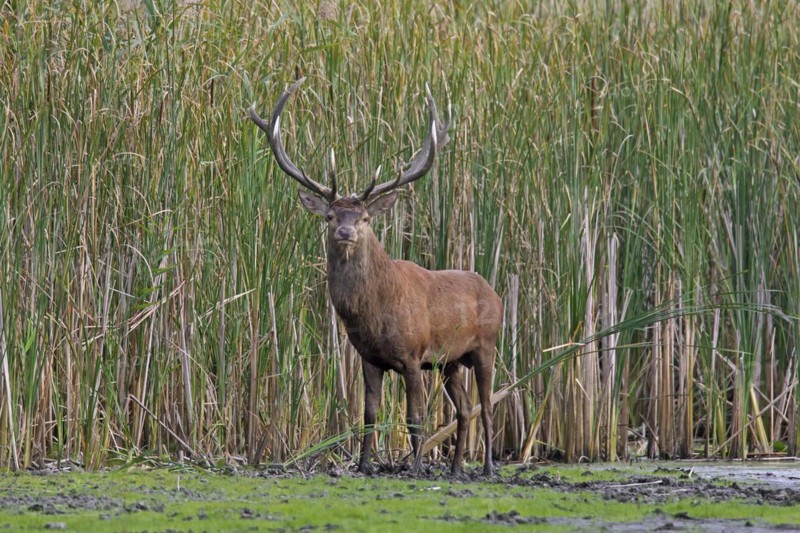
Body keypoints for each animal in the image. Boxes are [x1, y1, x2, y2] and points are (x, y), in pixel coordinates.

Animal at [249, 78, 502, 475]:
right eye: (330, 216)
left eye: (365, 217)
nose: (345, 231)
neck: (374, 311)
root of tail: (495, 292)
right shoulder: (369, 357)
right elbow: (368, 414)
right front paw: (364, 464)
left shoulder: (413, 355)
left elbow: (415, 417)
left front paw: (415, 466)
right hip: (450, 362)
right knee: (463, 410)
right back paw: (456, 468)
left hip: (486, 345)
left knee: (487, 406)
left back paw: (489, 467)